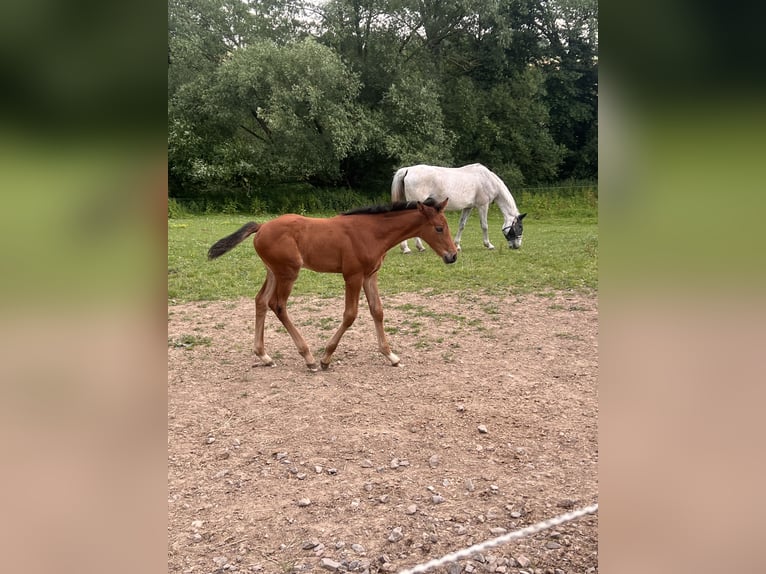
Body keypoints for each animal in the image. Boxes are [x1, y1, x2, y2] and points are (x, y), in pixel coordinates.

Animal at [206, 199, 456, 374]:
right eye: (439, 228)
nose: (452, 256)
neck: (372, 232)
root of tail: (262, 226)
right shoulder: (353, 276)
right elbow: (350, 315)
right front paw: (326, 357)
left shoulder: (370, 276)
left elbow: (377, 311)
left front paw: (390, 355)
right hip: (288, 272)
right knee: (277, 305)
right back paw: (308, 358)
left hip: (273, 272)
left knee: (260, 301)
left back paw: (264, 356)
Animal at [390, 162, 528, 252]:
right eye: (520, 227)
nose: (517, 246)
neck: (487, 179)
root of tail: (408, 170)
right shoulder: (482, 206)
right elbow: (484, 226)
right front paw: (488, 245)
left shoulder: (468, 208)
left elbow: (462, 225)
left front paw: (457, 245)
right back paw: (414, 248)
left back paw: (409, 248)